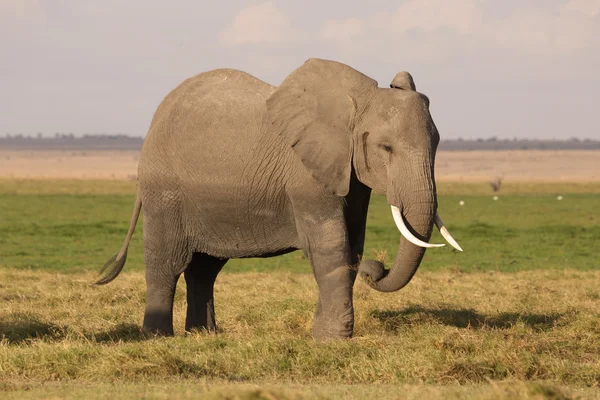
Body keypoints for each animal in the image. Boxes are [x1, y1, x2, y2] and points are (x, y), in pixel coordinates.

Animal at [96, 57, 462, 340]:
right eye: (386, 147)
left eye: (438, 143)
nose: (378, 268)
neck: (357, 101)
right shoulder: (306, 172)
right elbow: (331, 246)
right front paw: (333, 340)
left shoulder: (351, 175)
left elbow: (352, 243)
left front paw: (322, 334)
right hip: (164, 190)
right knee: (168, 263)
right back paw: (159, 337)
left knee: (204, 269)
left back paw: (204, 336)